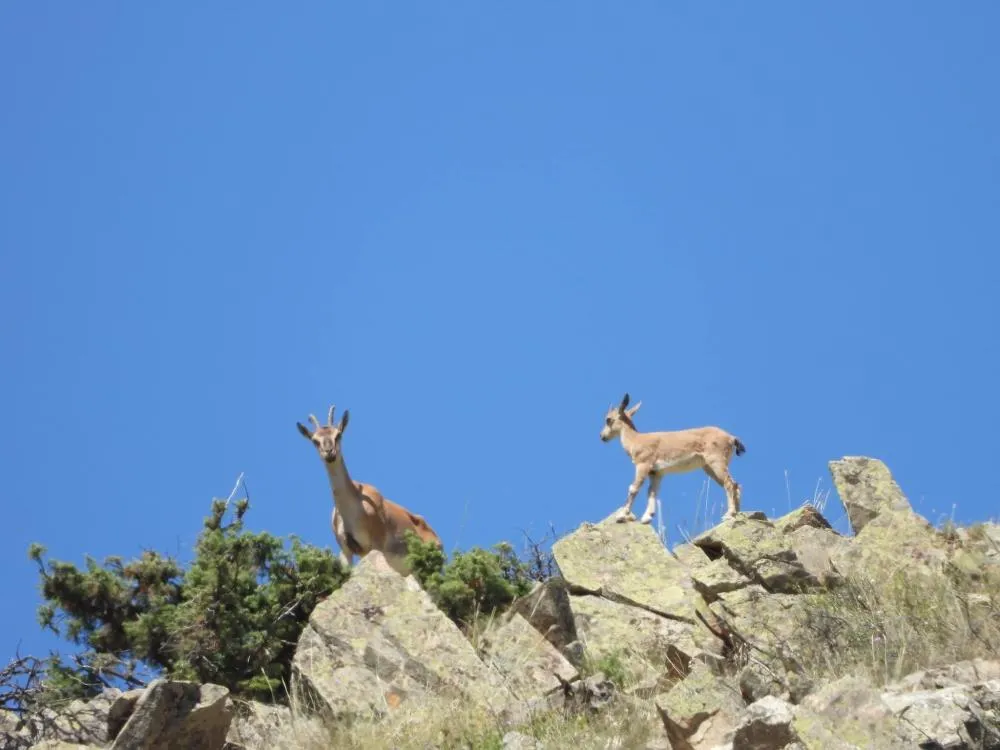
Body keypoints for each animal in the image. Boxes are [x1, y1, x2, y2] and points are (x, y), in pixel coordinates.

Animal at [294, 406, 440, 576]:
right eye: (315, 441)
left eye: (338, 435)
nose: (329, 452)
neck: (352, 508)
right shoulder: (346, 550)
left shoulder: (376, 545)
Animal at [596, 396, 748, 524]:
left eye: (608, 419)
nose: (602, 436)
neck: (636, 440)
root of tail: (731, 438)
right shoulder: (656, 472)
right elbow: (652, 492)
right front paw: (647, 517)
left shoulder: (643, 465)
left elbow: (634, 488)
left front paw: (622, 515)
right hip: (708, 467)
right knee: (736, 485)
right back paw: (737, 514)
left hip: (716, 462)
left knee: (729, 483)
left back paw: (729, 514)